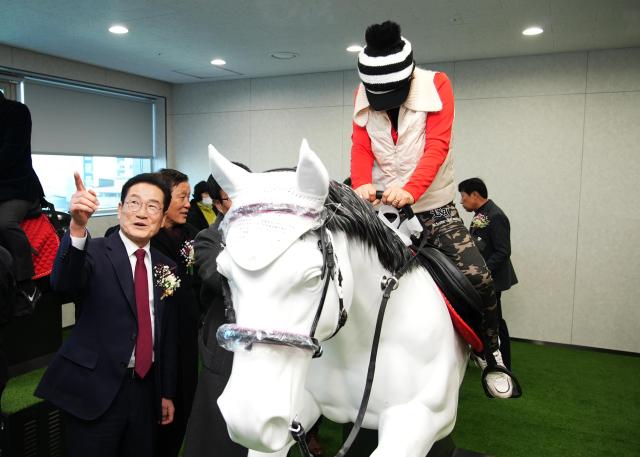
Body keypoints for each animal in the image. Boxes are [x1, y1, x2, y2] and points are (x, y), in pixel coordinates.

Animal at [209, 140, 464, 456]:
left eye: (312, 279)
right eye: (224, 273)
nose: (247, 420)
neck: (358, 346)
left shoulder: (421, 417)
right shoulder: (300, 405)